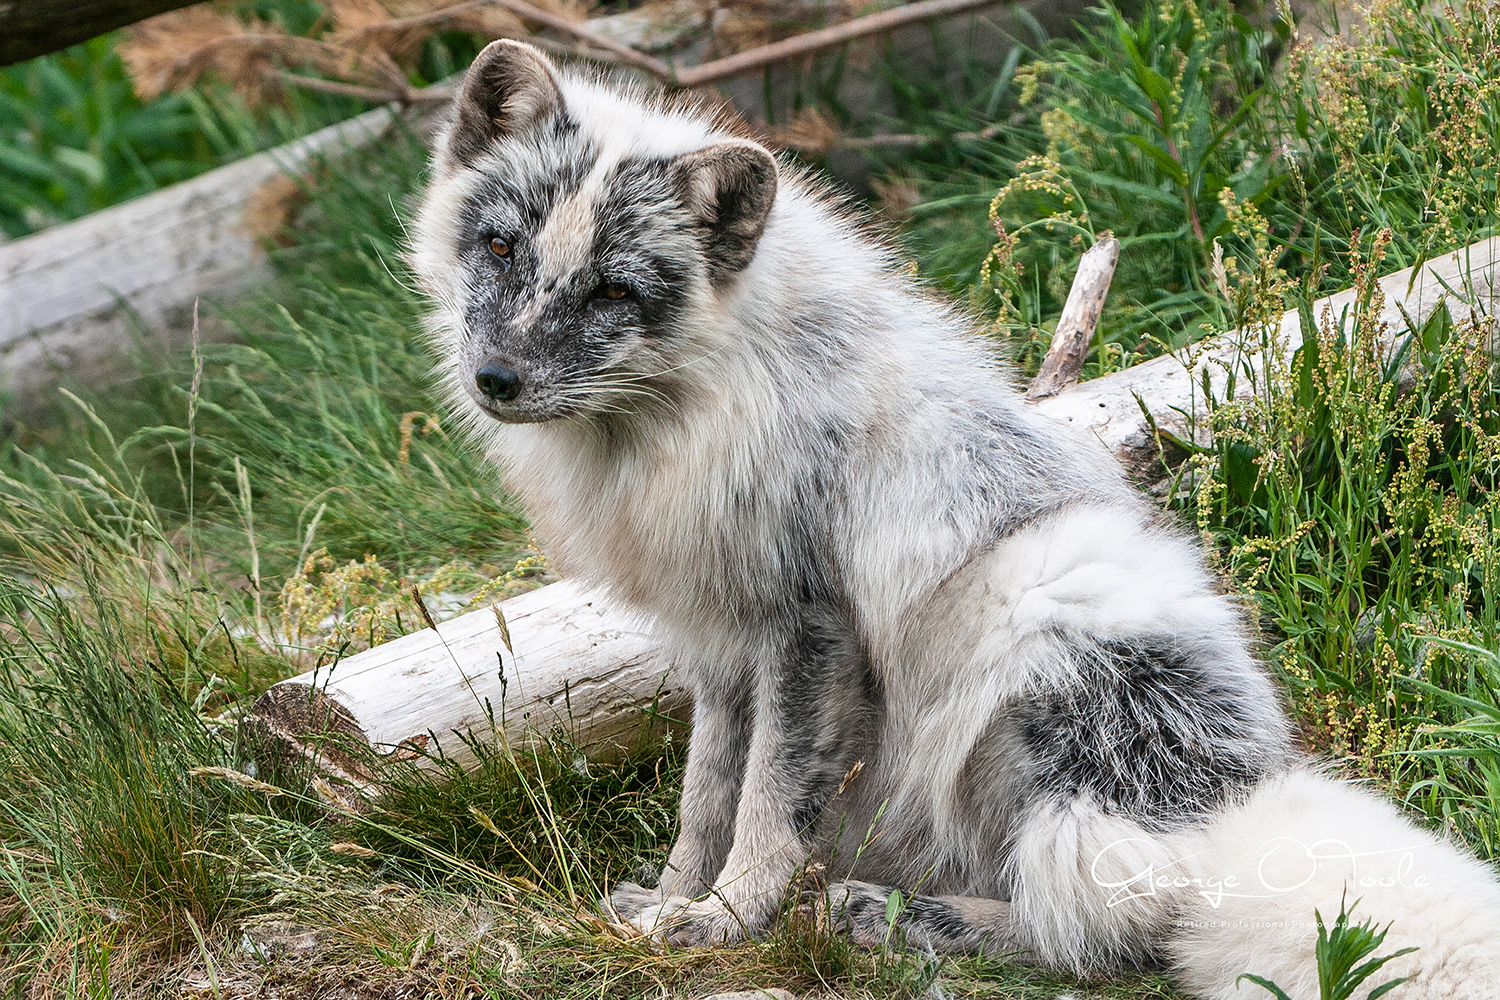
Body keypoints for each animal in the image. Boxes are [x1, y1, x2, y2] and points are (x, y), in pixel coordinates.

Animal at [408, 39, 1500, 999]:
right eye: (500, 245)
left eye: (613, 291)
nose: (496, 379)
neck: (673, 417)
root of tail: (1229, 808)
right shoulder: (720, 643)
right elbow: (705, 797)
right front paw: (671, 903)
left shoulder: (808, 630)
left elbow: (767, 802)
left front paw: (728, 918)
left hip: (1035, 631)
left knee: (1102, 929)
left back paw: (889, 915)